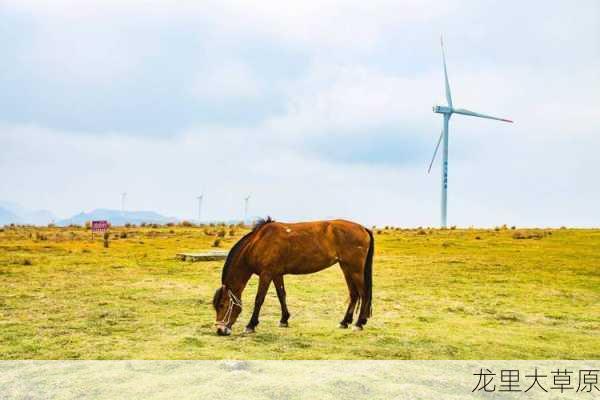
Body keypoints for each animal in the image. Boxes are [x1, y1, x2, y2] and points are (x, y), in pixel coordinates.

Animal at [210, 217, 370, 336]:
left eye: (222, 305)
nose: (220, 330)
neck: (258, 242)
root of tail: (363, 228)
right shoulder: (276, 274)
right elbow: (282, 295)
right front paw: (284, 320)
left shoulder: (266, 274)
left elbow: (259, 299)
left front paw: (251, 325)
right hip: (346, 268)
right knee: (354, 294)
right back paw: (344, 322)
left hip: (355, 269)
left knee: (363, 293)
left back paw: (359, 323)